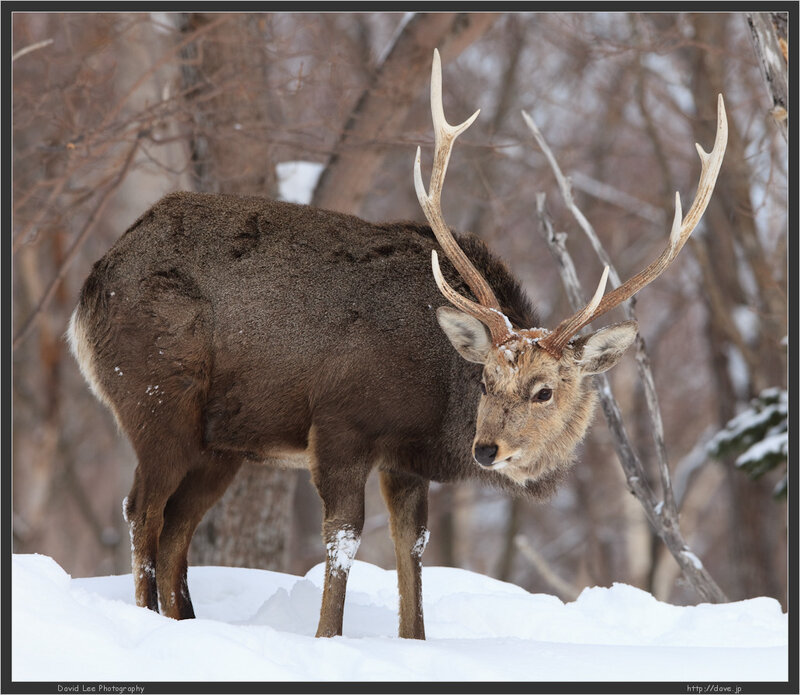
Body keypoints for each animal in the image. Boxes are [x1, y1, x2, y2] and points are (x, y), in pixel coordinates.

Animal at [67, 49, 727, 640]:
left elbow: (413, 548)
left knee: (176, 526)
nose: (487, 448)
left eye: (543, 391)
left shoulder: (403, 459)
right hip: (156, 399)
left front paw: (412, 640)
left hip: (221, 440)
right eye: (485, 378)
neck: (434, 403)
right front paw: (326, 638)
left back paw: (182, 623)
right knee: (142, 510)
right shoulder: (341, 422)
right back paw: (145, 618)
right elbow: (343, 538)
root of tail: (89, 289)